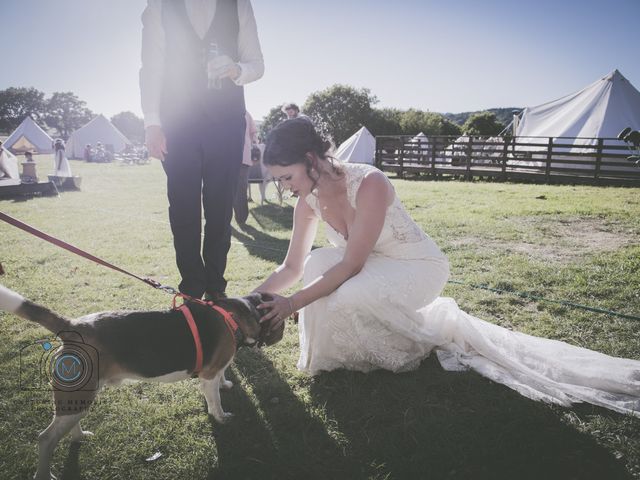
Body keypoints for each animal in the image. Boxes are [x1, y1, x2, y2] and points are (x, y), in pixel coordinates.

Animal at [0, 284, 282, 480]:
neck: (234, 314)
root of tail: (73, 326)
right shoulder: (208, 375)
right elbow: (216, 402)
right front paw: (222, 417)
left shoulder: (216, 369)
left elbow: (223, 378)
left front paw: (226, 384)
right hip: (76, 397)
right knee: (45, 439)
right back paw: (43, 474)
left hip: (81, 395)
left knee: (70, 425)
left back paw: (79, 436)